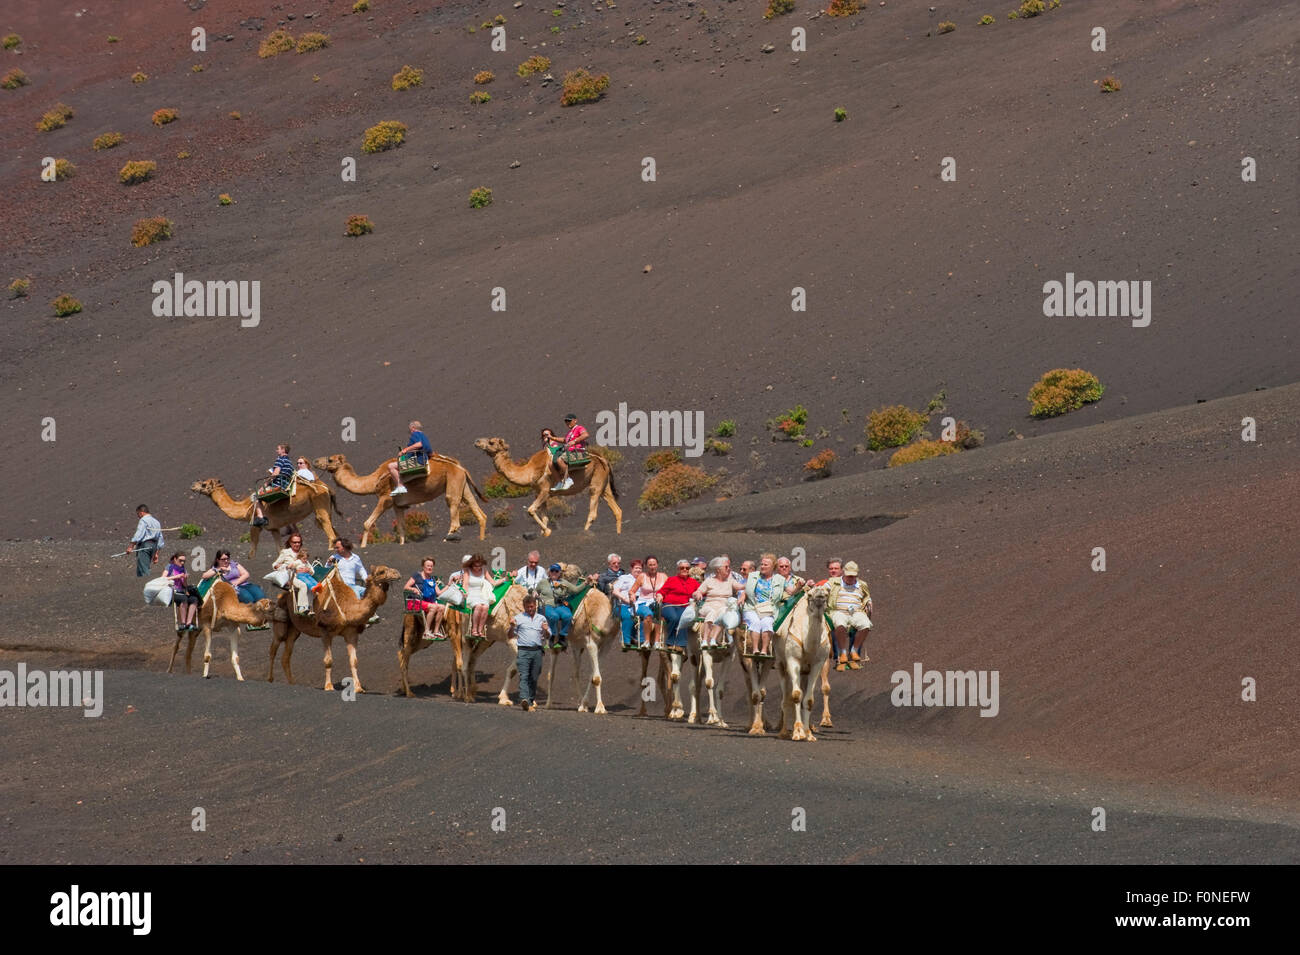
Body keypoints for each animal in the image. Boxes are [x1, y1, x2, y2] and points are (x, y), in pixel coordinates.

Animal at [189, 478, 340, 561]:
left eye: (204, 484)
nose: (193, 486)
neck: (246, 508)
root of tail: (327, 487)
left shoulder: (255, 525)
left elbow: (252, 550)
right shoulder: (274, 528)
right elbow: (280, 549)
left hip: (319, 504)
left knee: (328, 528)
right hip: (326, 507)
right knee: (332, 527)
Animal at [266, 563, 397, 691]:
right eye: (381, 571)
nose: (397, 573)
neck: (346, 607)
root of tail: (282, 595)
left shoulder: (351, 632)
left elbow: (354, 661)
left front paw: (358, 688)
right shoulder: (325, 631)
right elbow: (328, 660)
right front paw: (328, 686)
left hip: (295, 629)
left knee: (286, 655)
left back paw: (292, 682)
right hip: (282, 621)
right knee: (273, 648)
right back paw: (270, 679)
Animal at [314, 454, 488, 545]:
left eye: (330, 460)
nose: (315, 461)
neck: (373, 480)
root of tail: (461, 467)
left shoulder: (385, 499)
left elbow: (367, 523)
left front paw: (363, 547)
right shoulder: (398, 505)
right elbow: (402, 528)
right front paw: (403, 545)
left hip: (452, 483)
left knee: (454, 511)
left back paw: (447, 540)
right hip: (462, 484)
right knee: (478, 511)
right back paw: (481, 540)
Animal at [475, 439, 621, 537]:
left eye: (491, 442)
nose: (477, 442)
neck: (529, 471)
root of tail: (604, 459)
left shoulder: (545, 490)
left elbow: (531, 510)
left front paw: (548, 531)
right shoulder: (540, 493)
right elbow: (544, 516)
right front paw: (545, 533)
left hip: (596, 482)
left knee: (593, 512)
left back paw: (584, 533)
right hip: (604, 484)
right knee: (617, 509)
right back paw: (618, 533)